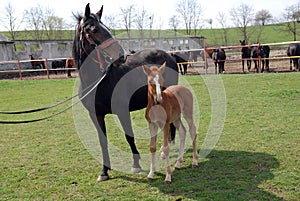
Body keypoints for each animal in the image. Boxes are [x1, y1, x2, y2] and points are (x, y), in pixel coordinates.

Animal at [73, 3, 178, 182]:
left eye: (106, 28)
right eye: (93, 29)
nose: (120, 56)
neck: (98, 80)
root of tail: (168, 56)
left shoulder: (122, 111)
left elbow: (129, 136)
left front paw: (136, 165)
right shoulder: (96, 114)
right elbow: (102, 141)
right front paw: (104, 171)